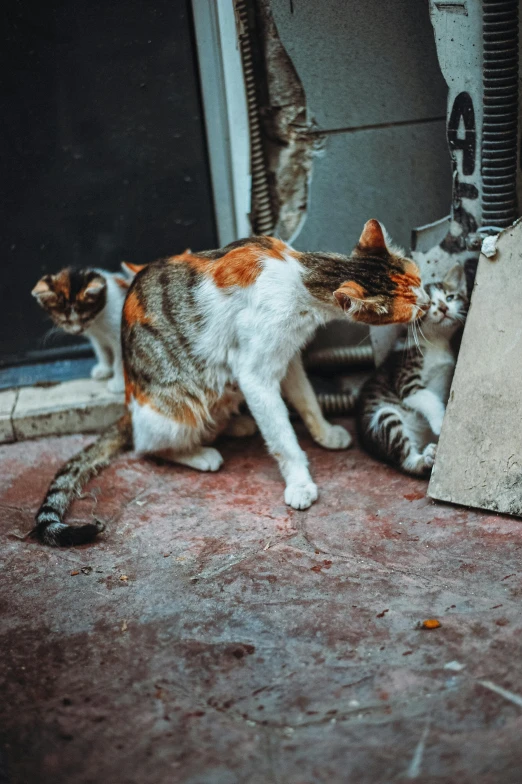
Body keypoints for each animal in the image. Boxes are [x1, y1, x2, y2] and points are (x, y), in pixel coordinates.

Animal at [33, 216, 430, 544]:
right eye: (412, 304)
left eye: (420, 281)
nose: (429, 302)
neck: (300, 277)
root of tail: (130, 409)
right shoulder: (254, 375)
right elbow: (283, 437)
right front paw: (300, 482)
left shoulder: (288, 358)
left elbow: (307, 401)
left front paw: (326, 433)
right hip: (179, 408)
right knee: (147, 448)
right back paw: (201, 453)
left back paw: (235, 425)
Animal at [356, 264, 466, 474]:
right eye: (429, 303)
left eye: (450, 297)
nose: (443, 308)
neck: (436, 343)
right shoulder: (406, 378)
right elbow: (428, 398)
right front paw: (440, 423)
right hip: (385, 417)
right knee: (406, 461)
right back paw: (424, 459)